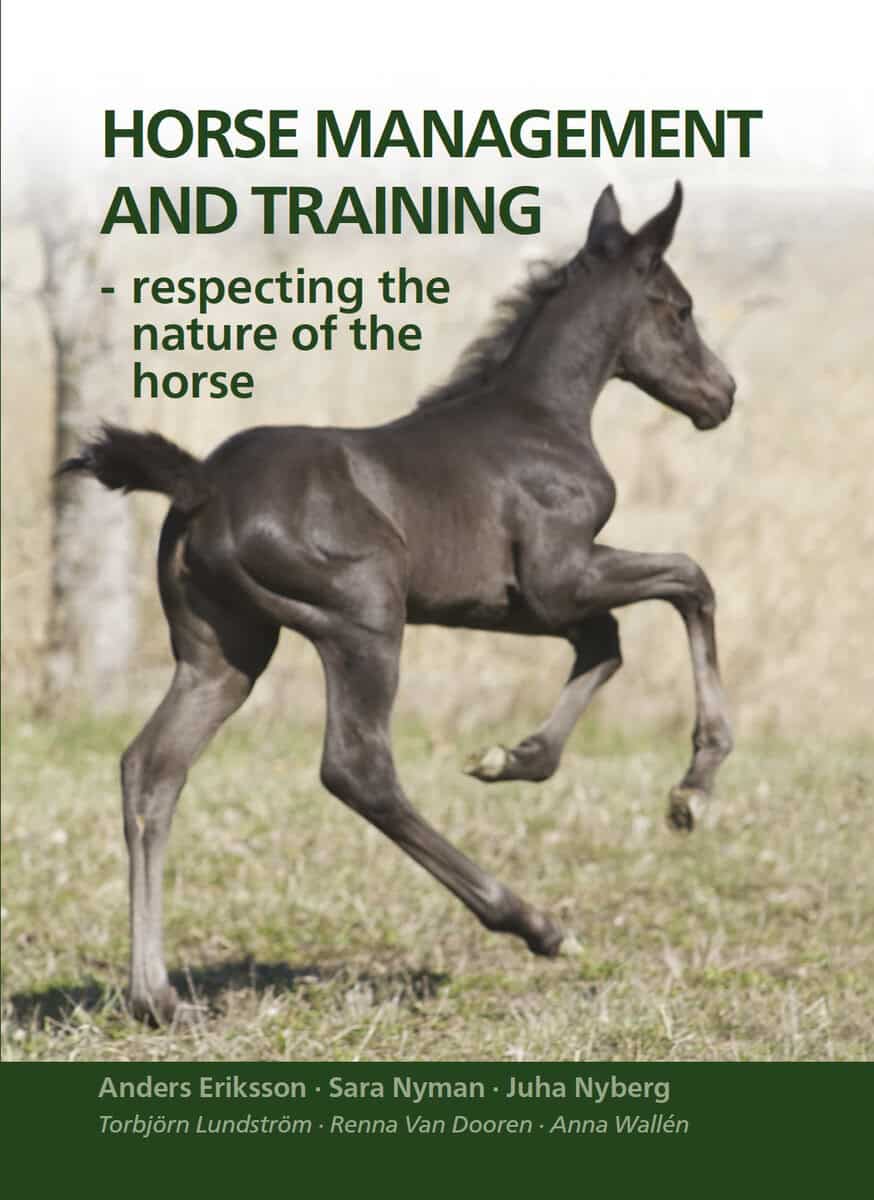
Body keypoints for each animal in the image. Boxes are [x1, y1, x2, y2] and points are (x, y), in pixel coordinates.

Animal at [62, 182, 736, 1023]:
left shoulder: (512, 602)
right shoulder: (560, 575)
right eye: (679, 308)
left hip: (224, 654)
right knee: (358, 769)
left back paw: (156, 996)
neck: (541, 421)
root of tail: (201, 483)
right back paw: (536, 925)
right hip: (364, 616)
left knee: (151, 768)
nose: (723, 395)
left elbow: (605, 643)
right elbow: (690, 580)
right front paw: (692, 792)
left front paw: (514, 758)